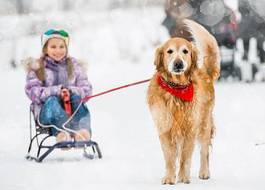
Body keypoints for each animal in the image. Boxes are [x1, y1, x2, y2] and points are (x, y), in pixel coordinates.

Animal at [146, 19, 219, 184]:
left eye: (185, 51)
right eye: (169, 51)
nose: (178, 63)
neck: (176, 88)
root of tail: (204, 71)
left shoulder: (190, 129)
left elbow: (185, 157)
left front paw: (183, 177)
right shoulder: (164, 128)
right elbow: (169, 158)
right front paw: (169, 177)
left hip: (204, 124)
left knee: (204, 151)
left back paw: (204, 172)